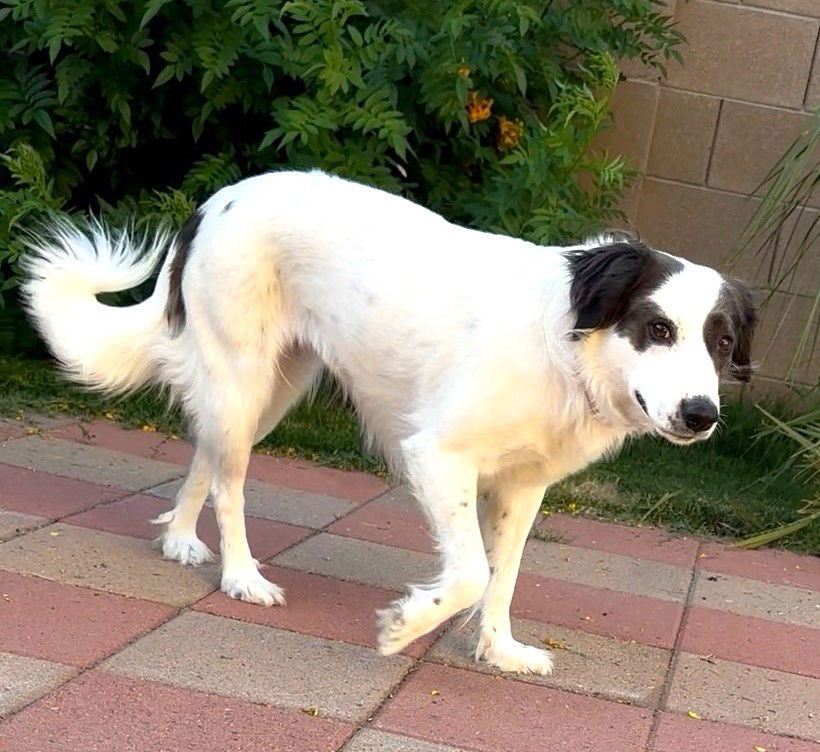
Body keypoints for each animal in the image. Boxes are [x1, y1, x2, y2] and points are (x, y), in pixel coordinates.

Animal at [22, 172, 760, 676]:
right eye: (658, 329)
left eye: (723, 342)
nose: (702, 415)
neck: (566, 347)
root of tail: (217, 200)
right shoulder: (435, 456)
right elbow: (472, 573)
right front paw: (406, 627)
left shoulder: (523, 486)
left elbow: (505, 575)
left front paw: (497, 650)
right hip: (243, 378)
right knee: (230, 483)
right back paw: (241, 576)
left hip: (267, 394)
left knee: (207, 452)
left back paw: (178, 538)